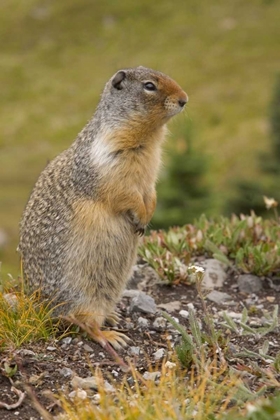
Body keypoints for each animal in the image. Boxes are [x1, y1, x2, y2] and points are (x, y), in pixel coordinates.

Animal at [18, 65, 187, 352]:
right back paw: (110, 335)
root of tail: (41, 308)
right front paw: (140, 216)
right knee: (84, 323)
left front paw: (147, 213)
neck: (148, 138)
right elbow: (123, 193)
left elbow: (151, 192)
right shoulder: (109, 163)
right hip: (82, 294)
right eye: (149, 86)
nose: (185, 99)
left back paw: (112, 315)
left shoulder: (150, 173)